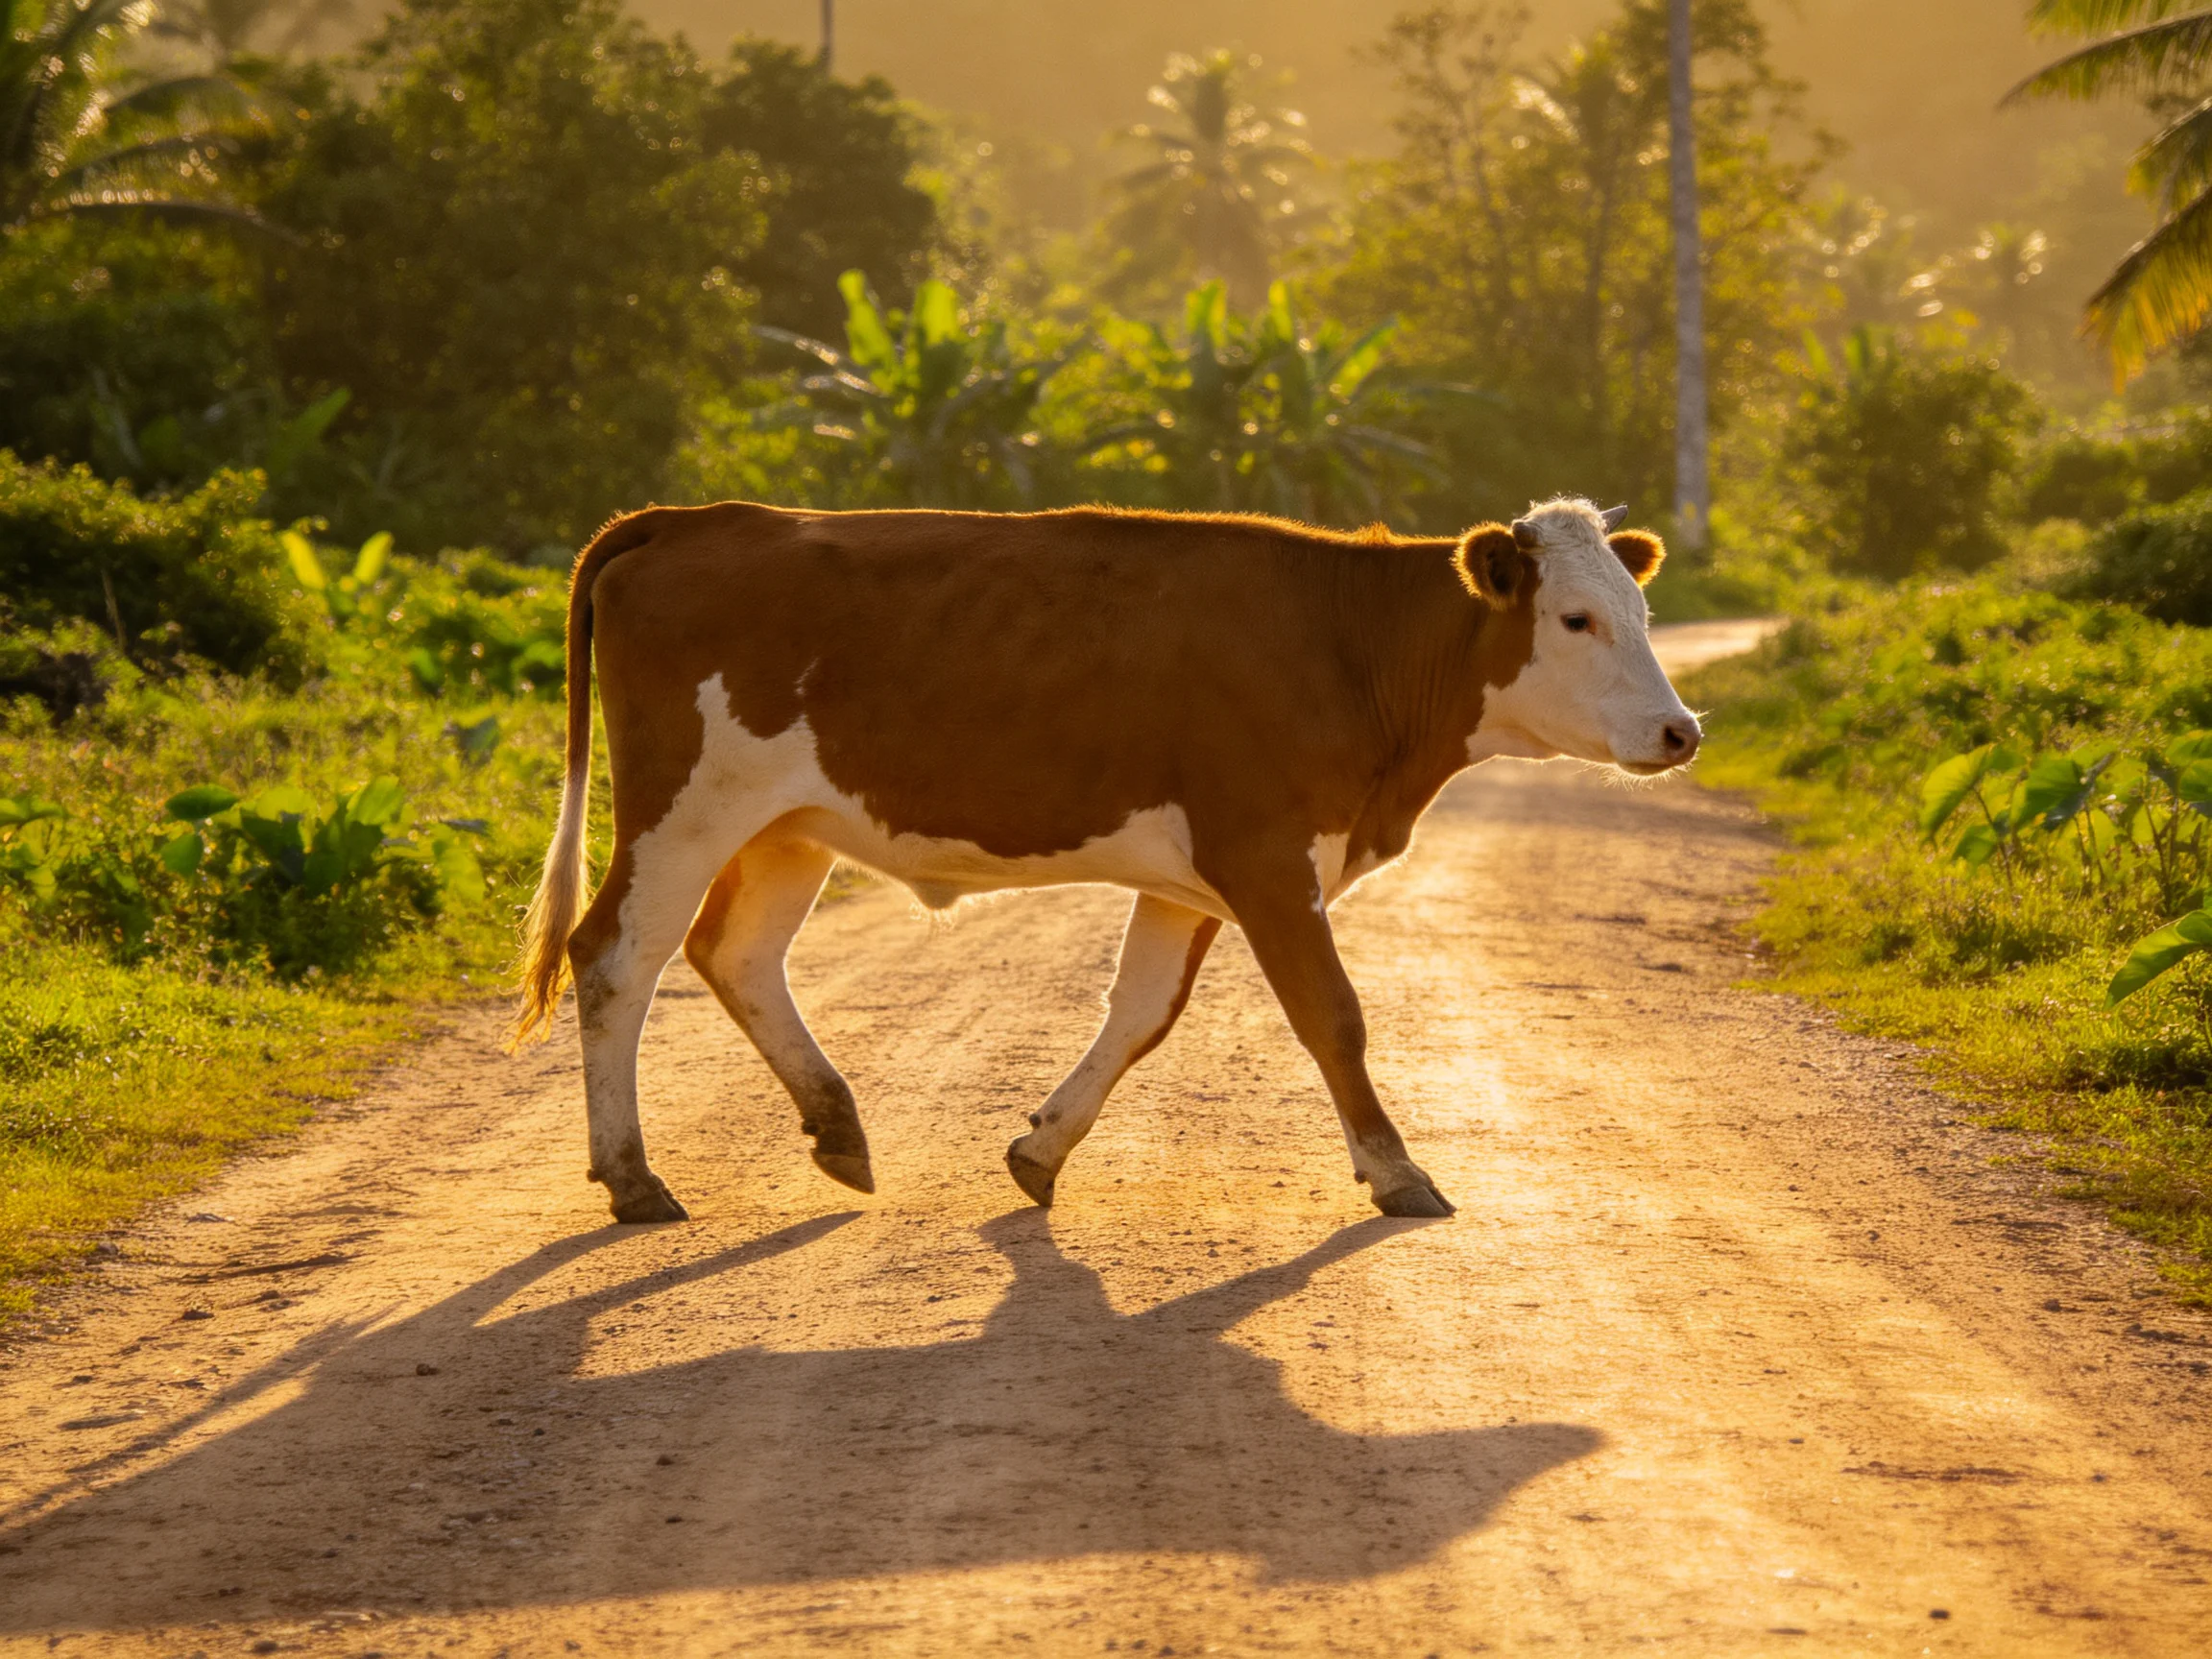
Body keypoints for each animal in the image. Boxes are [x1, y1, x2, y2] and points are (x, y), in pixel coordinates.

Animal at [513, 497, 1699, 1224]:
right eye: (1576, 619)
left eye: (1641, 611)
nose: (1681, 731)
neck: (1346, 648)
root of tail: (694, 521)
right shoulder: (1268, 858)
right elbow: (1333, 1016)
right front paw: (1397, 1170)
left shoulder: (1195, 881)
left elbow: (1140, 1016)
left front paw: (1041, 1149)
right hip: (687, 807)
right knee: (614, 956)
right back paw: (632, 1177)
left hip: (787, 824)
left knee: (737, 954)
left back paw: (836, 1124)